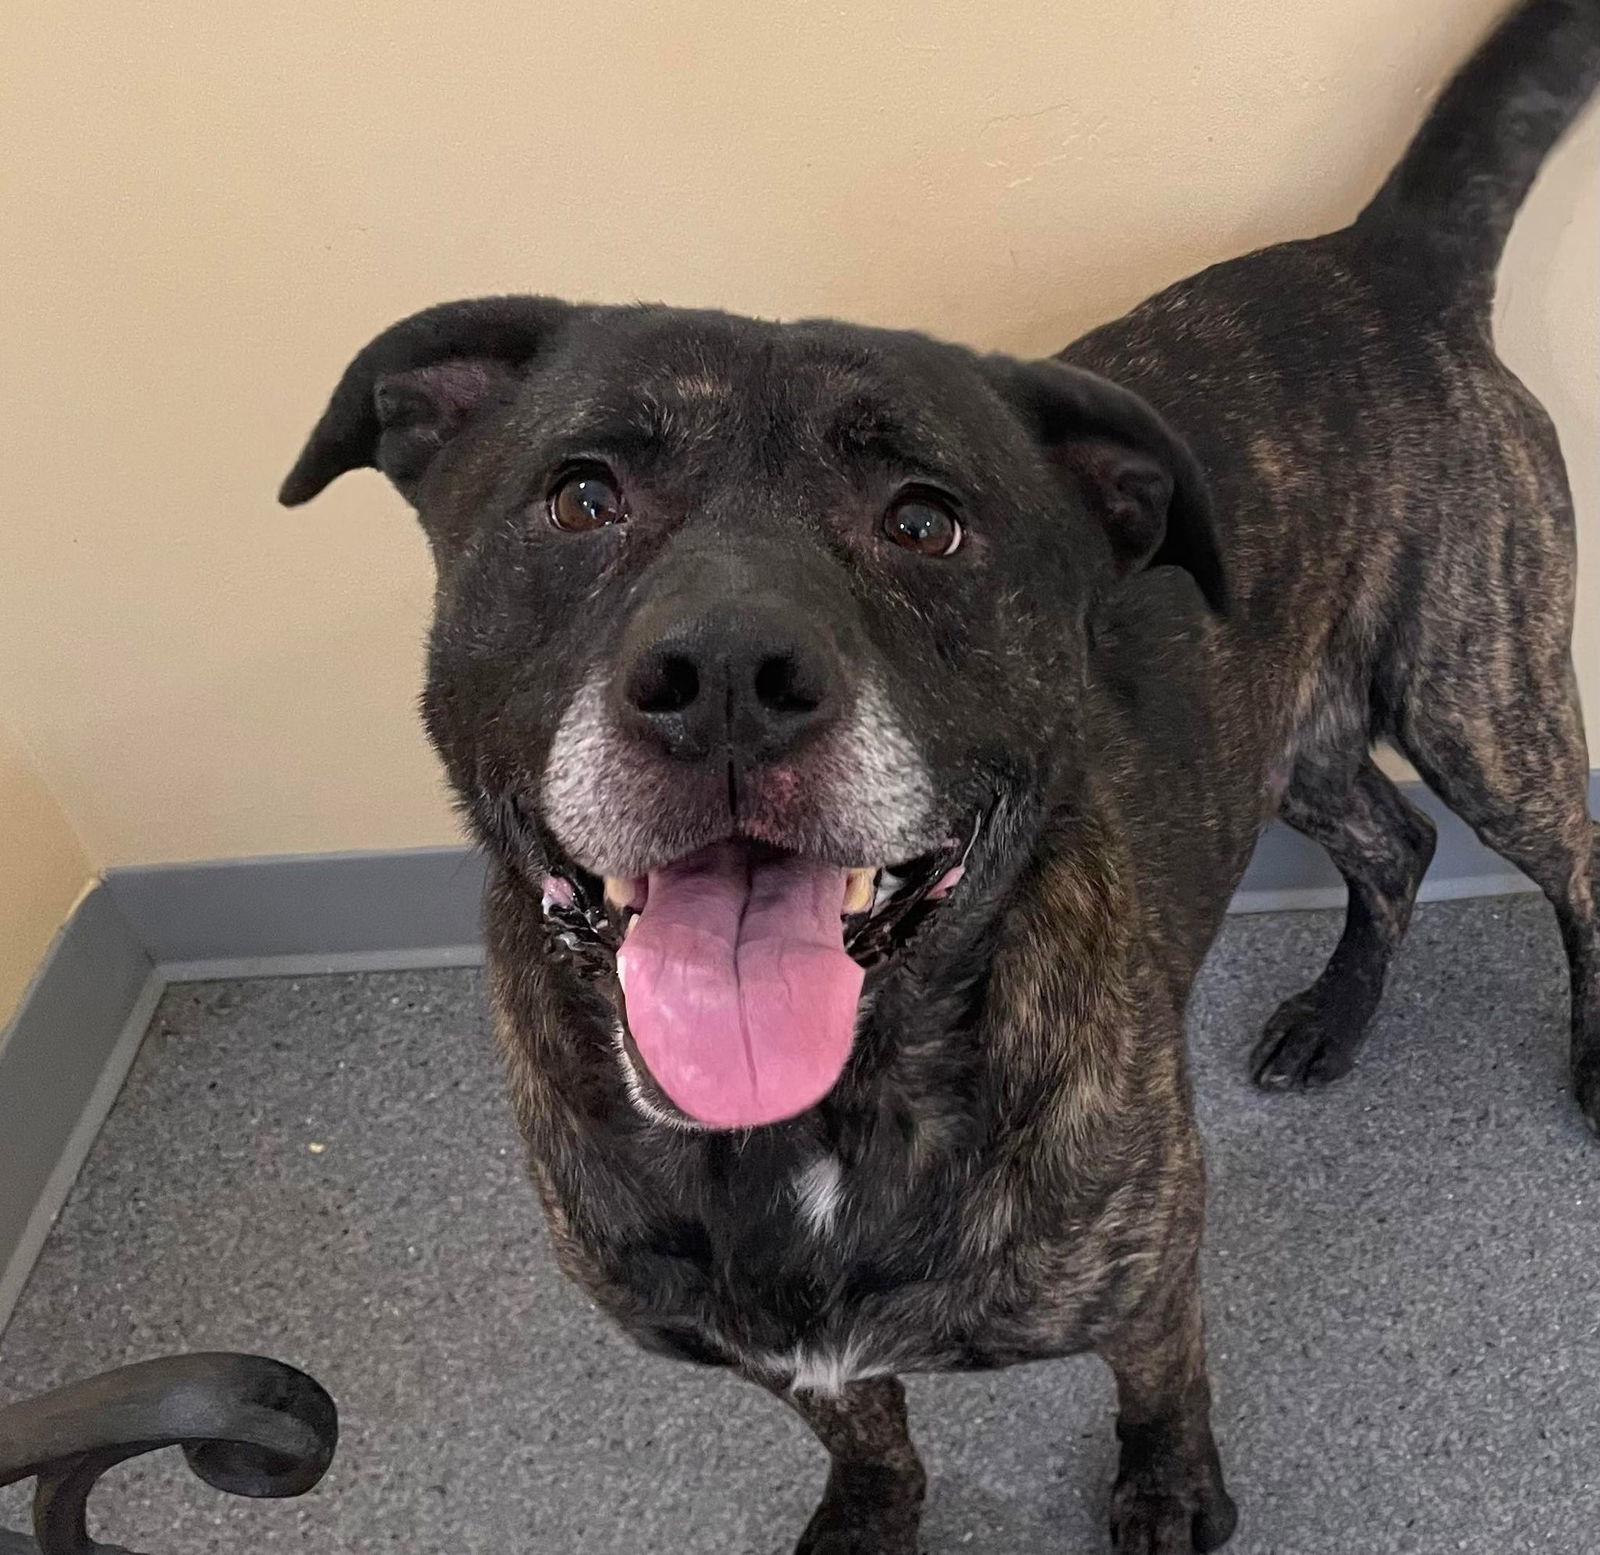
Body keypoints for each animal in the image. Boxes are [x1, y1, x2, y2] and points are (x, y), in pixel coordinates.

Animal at [278, 6, 1600, 1548]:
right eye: (580, 496)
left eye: (926, 521)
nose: (725, 675)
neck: (811, 1120)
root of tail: (1376, 257)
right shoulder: (781, 1350)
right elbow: (866, 1430)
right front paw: (870, 1513)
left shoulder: (1146, 1263)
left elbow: (1161, 1389)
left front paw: (1166, 1495)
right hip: (1296, 728)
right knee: (1391, 840)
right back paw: (1334, 1015)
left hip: (1476, 698)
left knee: (1566, 854)